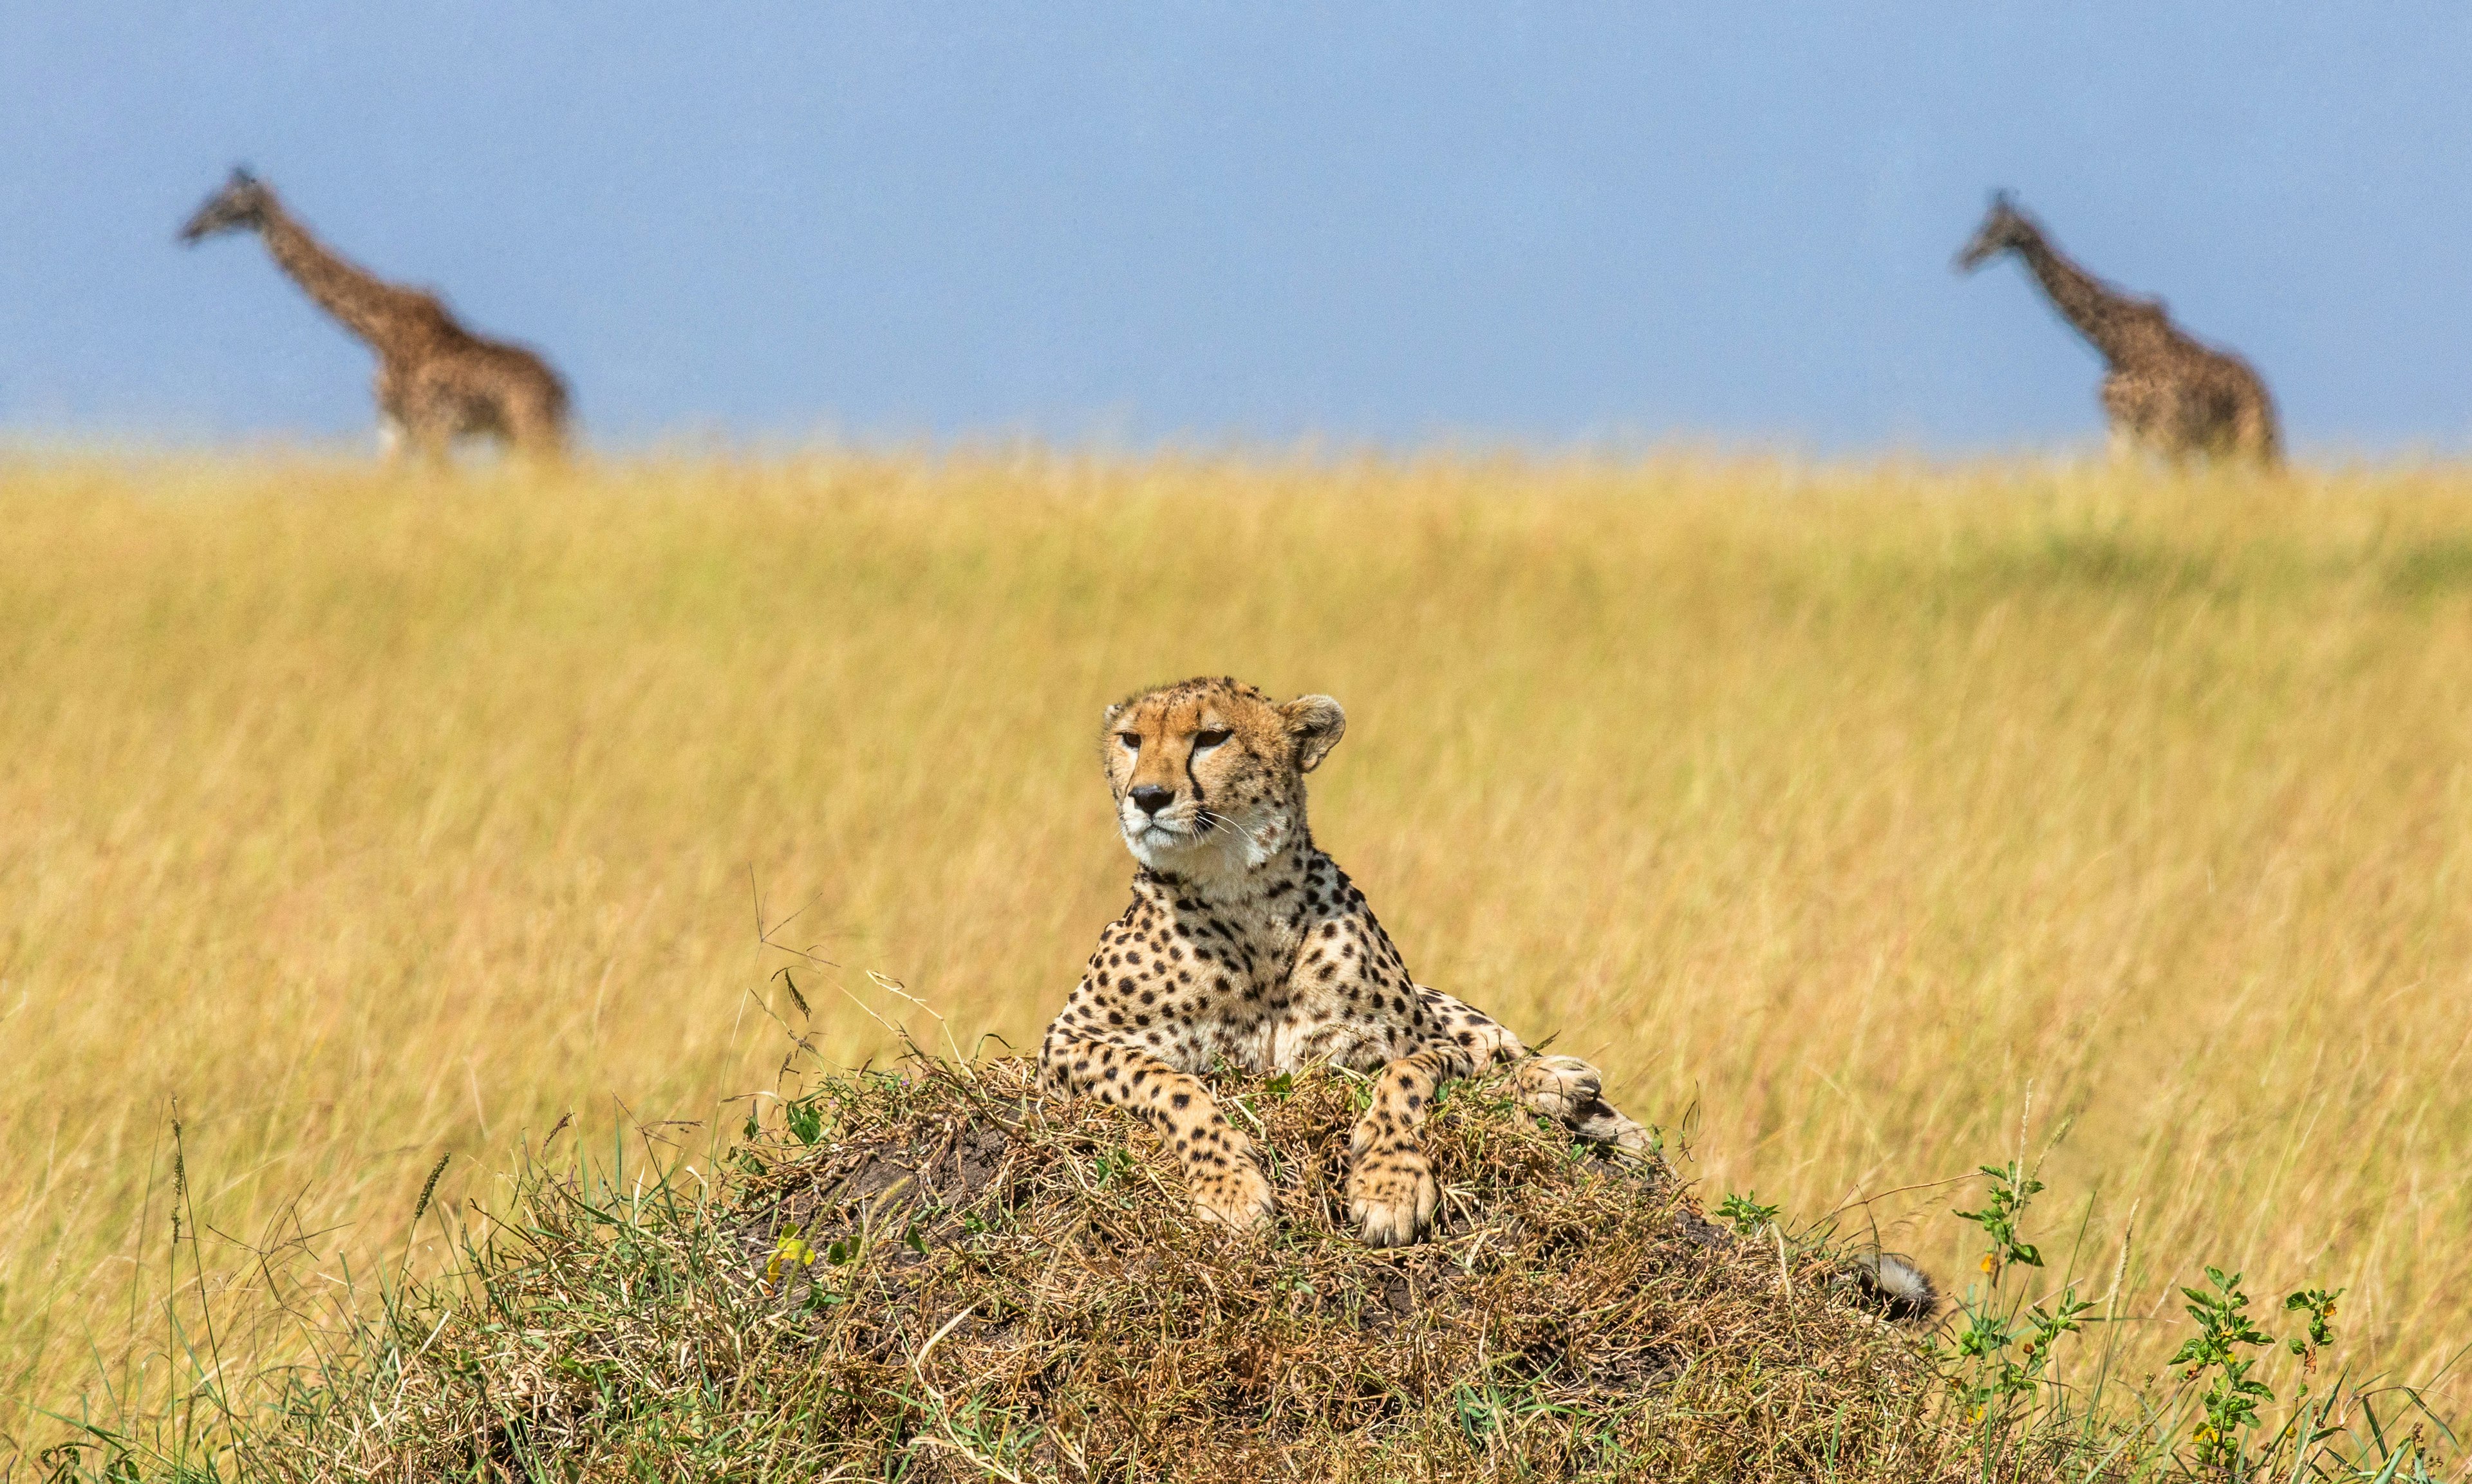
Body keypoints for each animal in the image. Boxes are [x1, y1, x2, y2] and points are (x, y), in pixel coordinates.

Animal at [180, 167, 571, 459]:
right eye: (210, 198)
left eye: (224, 203)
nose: (187, 231)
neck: (376, 333)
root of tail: (563, 390)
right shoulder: (392, 427)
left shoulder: (431, 427)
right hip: (516, 436)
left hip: (531, 429)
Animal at [1033, 676, 1651, 1244]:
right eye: (1131, 739)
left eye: (1211, 738)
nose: (1148, 796)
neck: (1241, 897)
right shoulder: (1065, 1043)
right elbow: (1170, 1083)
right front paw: (1230, 1189)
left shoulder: (1422, 1043)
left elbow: (1405, 1079)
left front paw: (1389, 1187)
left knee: (1497, 1068)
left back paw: (1571, 1089)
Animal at [1958, 192, 2284, 464]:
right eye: (1983, 224)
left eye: (1993, 227)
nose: (1963, 259)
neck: (2113, 345)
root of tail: (2264, 390)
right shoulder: (2120, 428)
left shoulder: (2165, 429)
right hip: (2222, 446)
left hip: (2253, 436)